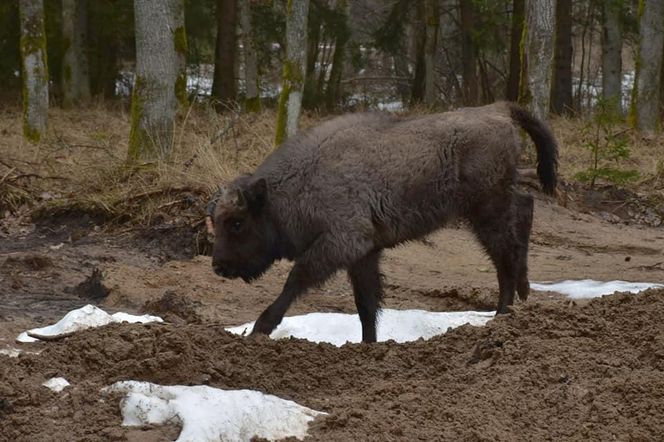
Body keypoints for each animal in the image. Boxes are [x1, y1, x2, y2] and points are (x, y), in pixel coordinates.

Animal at [205, 102, 556, 344]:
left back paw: (503, 314)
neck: (302, 180)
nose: (219, 266)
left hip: (485, 211)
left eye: (237, 222)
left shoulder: (341, 243)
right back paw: (519, 297)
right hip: (492, 206)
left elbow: (296, 280)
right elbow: (366, 304)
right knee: (524, 210)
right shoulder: (364, 254)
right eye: (215, 220)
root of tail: (499, 110)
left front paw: (260, 328)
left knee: (506, 253)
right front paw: (368, 345)